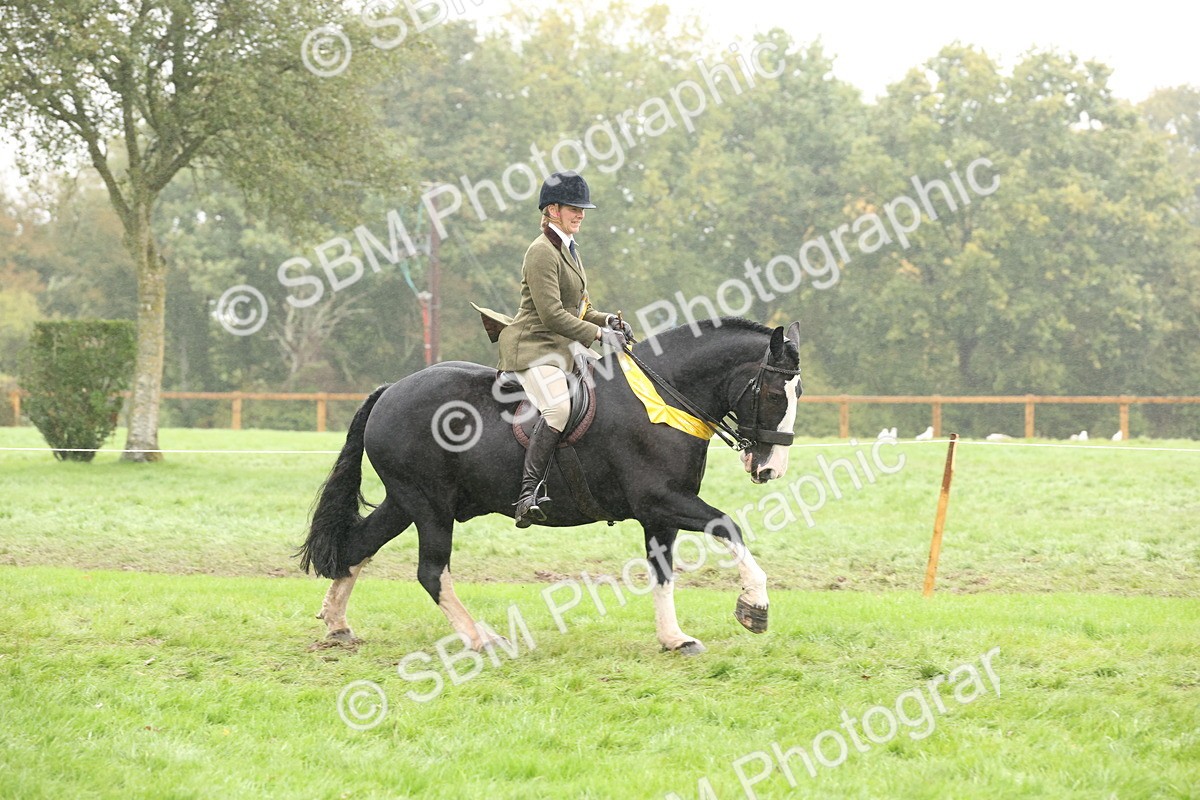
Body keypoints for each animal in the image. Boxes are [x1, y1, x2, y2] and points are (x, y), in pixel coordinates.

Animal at [298, 317, 802, 655]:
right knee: (430, 572)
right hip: (430, 508)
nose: (770, 469)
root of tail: (391, 390)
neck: (663, 396)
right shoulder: (663, 500)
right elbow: (729, 526)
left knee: (358, 545)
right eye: (774, 393)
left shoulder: (661, 513)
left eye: (797, 393)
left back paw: (338, 625)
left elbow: (662, 573)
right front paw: (754, 607)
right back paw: (482, 638)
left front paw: (673, 638)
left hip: (406, 502)